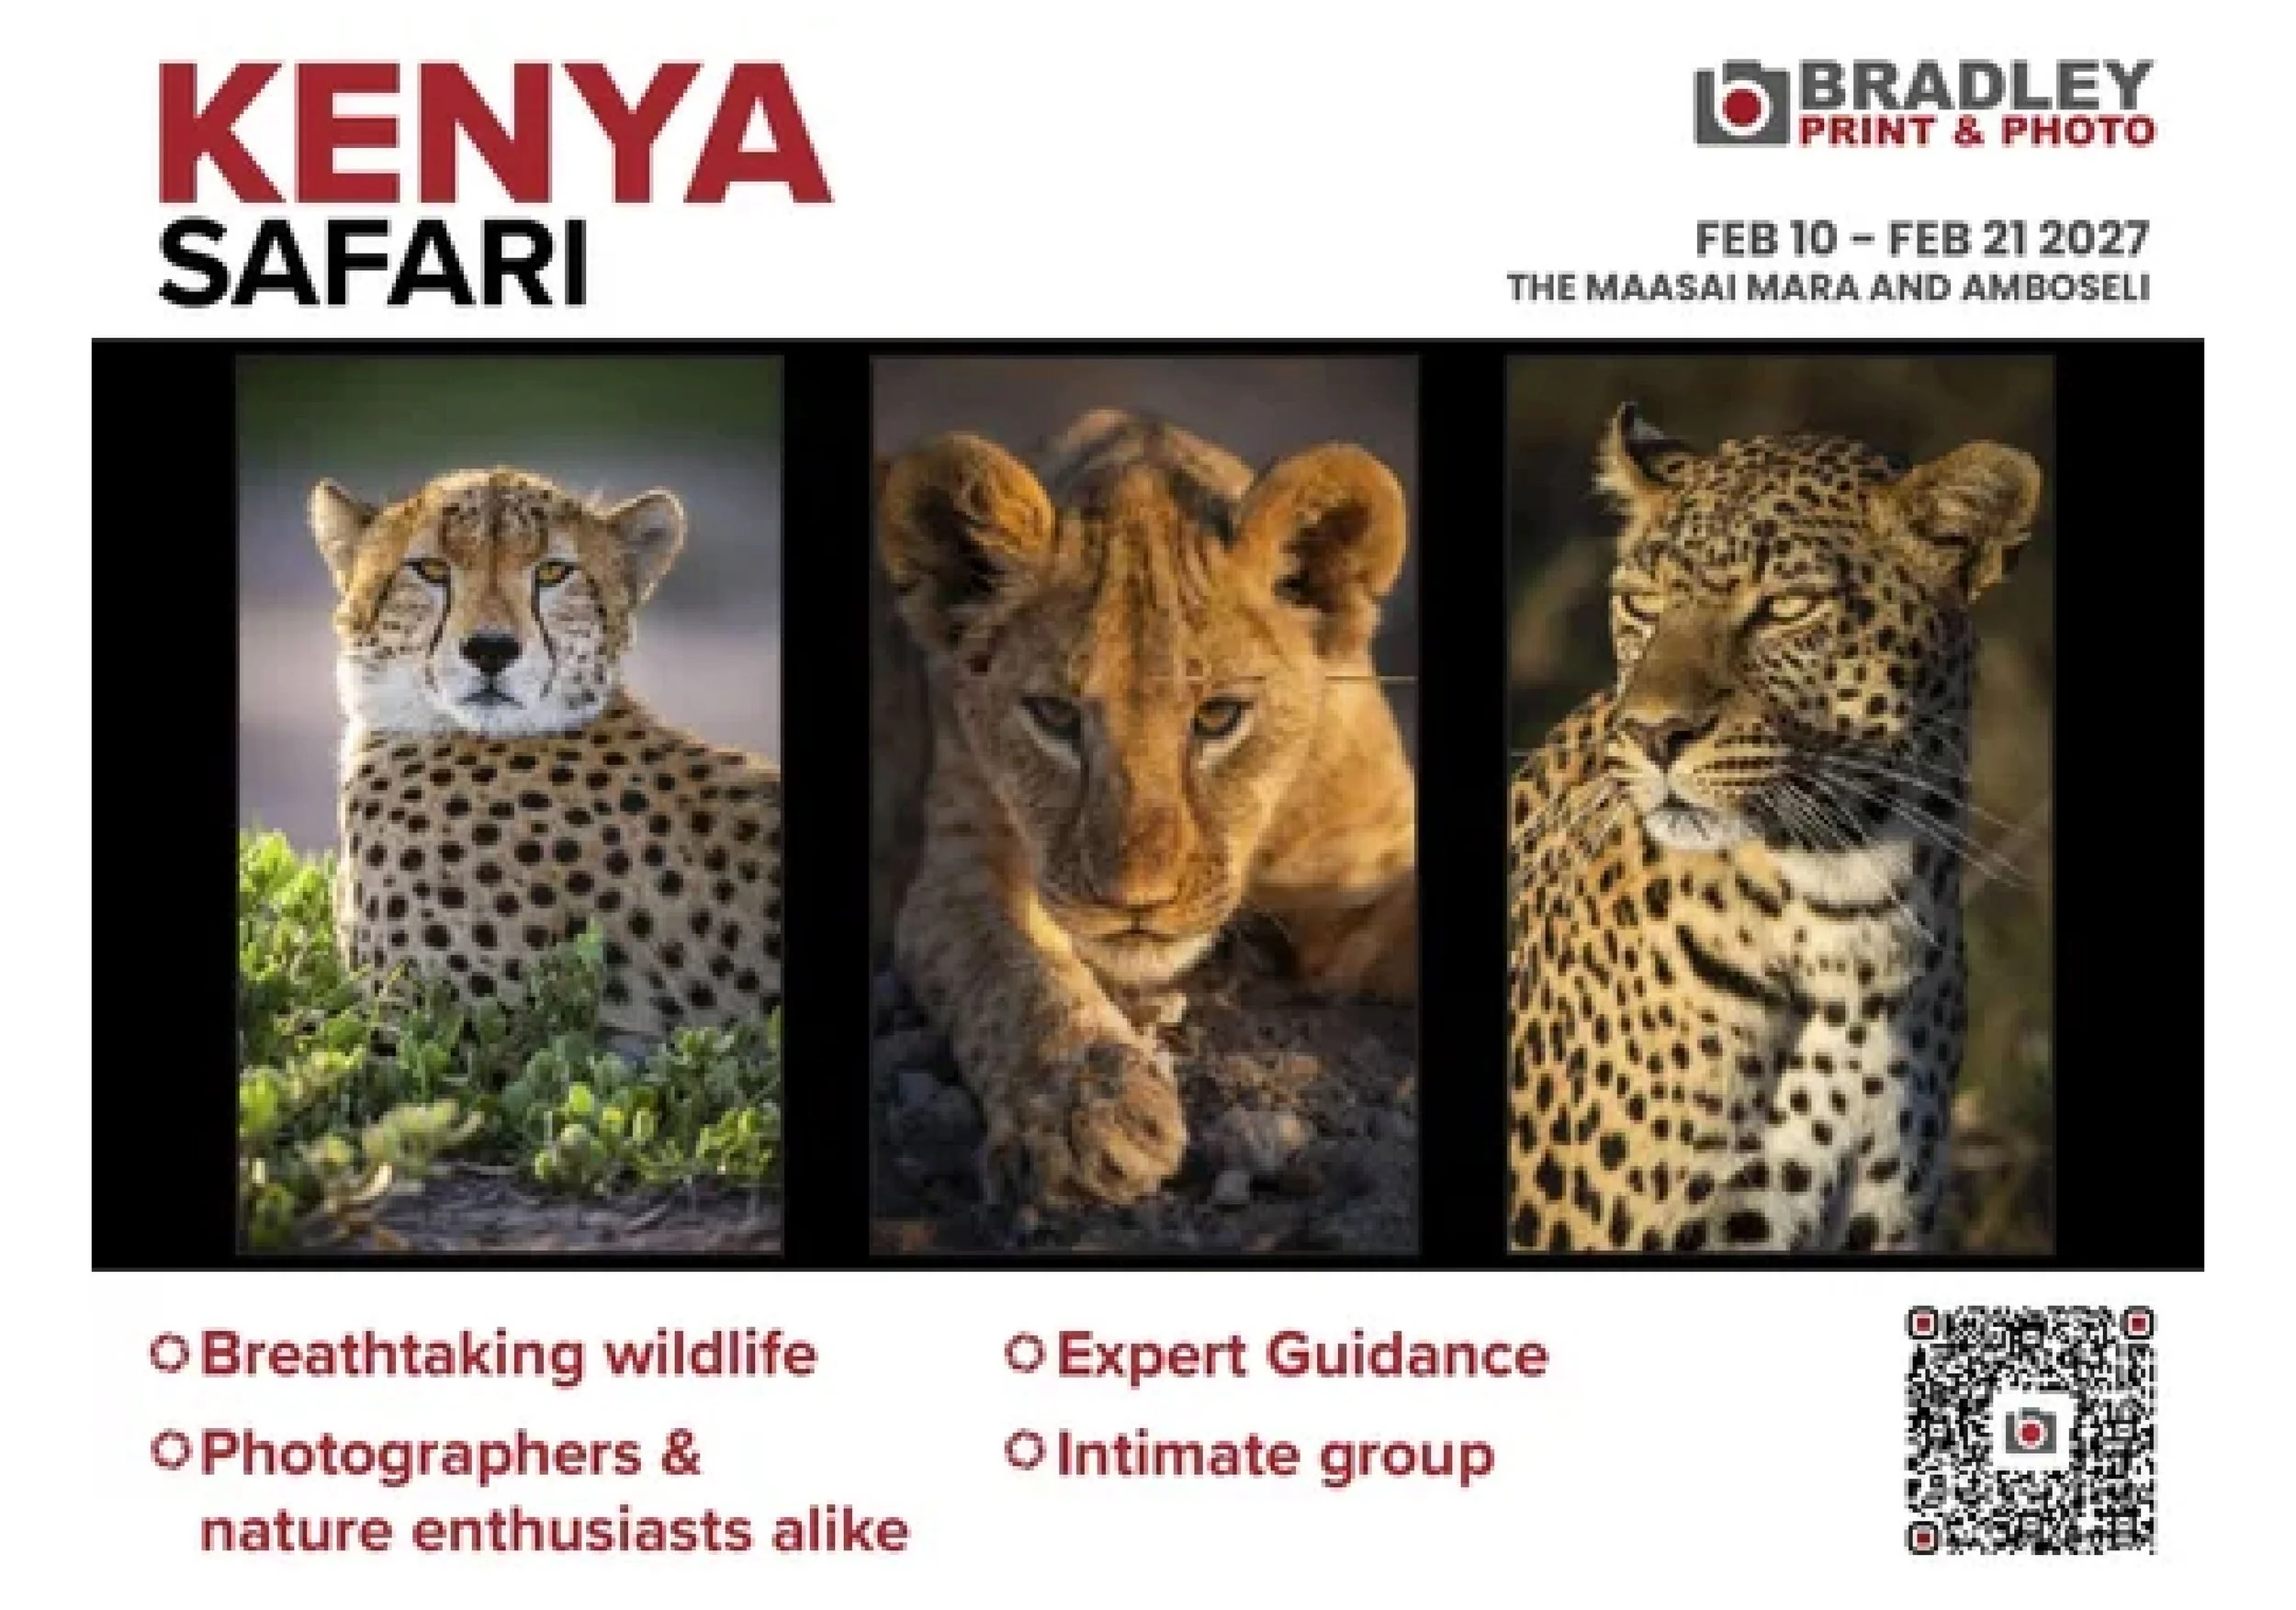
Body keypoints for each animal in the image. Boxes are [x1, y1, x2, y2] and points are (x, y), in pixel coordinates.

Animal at [876, 408, 1418, 1207]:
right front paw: (1086, 1110)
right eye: (1055, 715)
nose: (1136, 900)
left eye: (1219, 716)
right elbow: (1017, 976)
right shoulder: (958, 872)